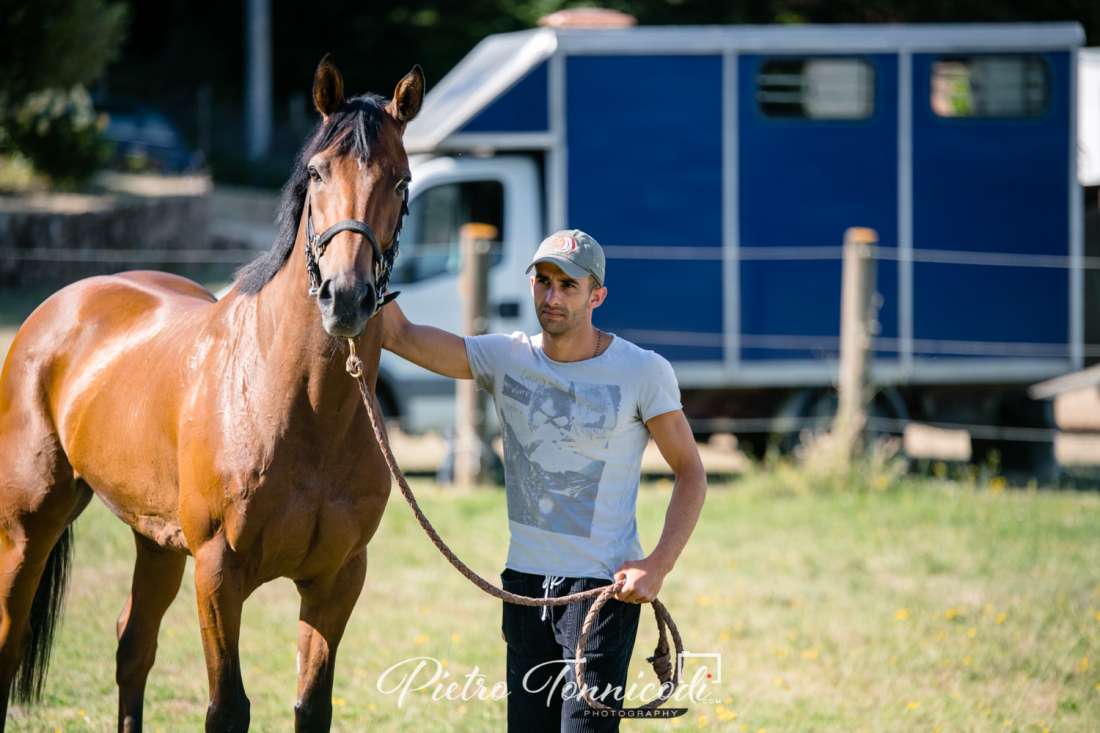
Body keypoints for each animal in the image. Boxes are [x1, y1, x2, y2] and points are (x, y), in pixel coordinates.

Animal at [0, 57, 420, 730]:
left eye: (402, 183)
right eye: (316, 172)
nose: (346, 297)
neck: (301, 409)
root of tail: (62, 304)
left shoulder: (337, 580)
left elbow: (312, 706)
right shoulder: (219, 574)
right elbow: (228, 708)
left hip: (155, 541)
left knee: (133, 647)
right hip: (29, 527)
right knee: (11, 646)